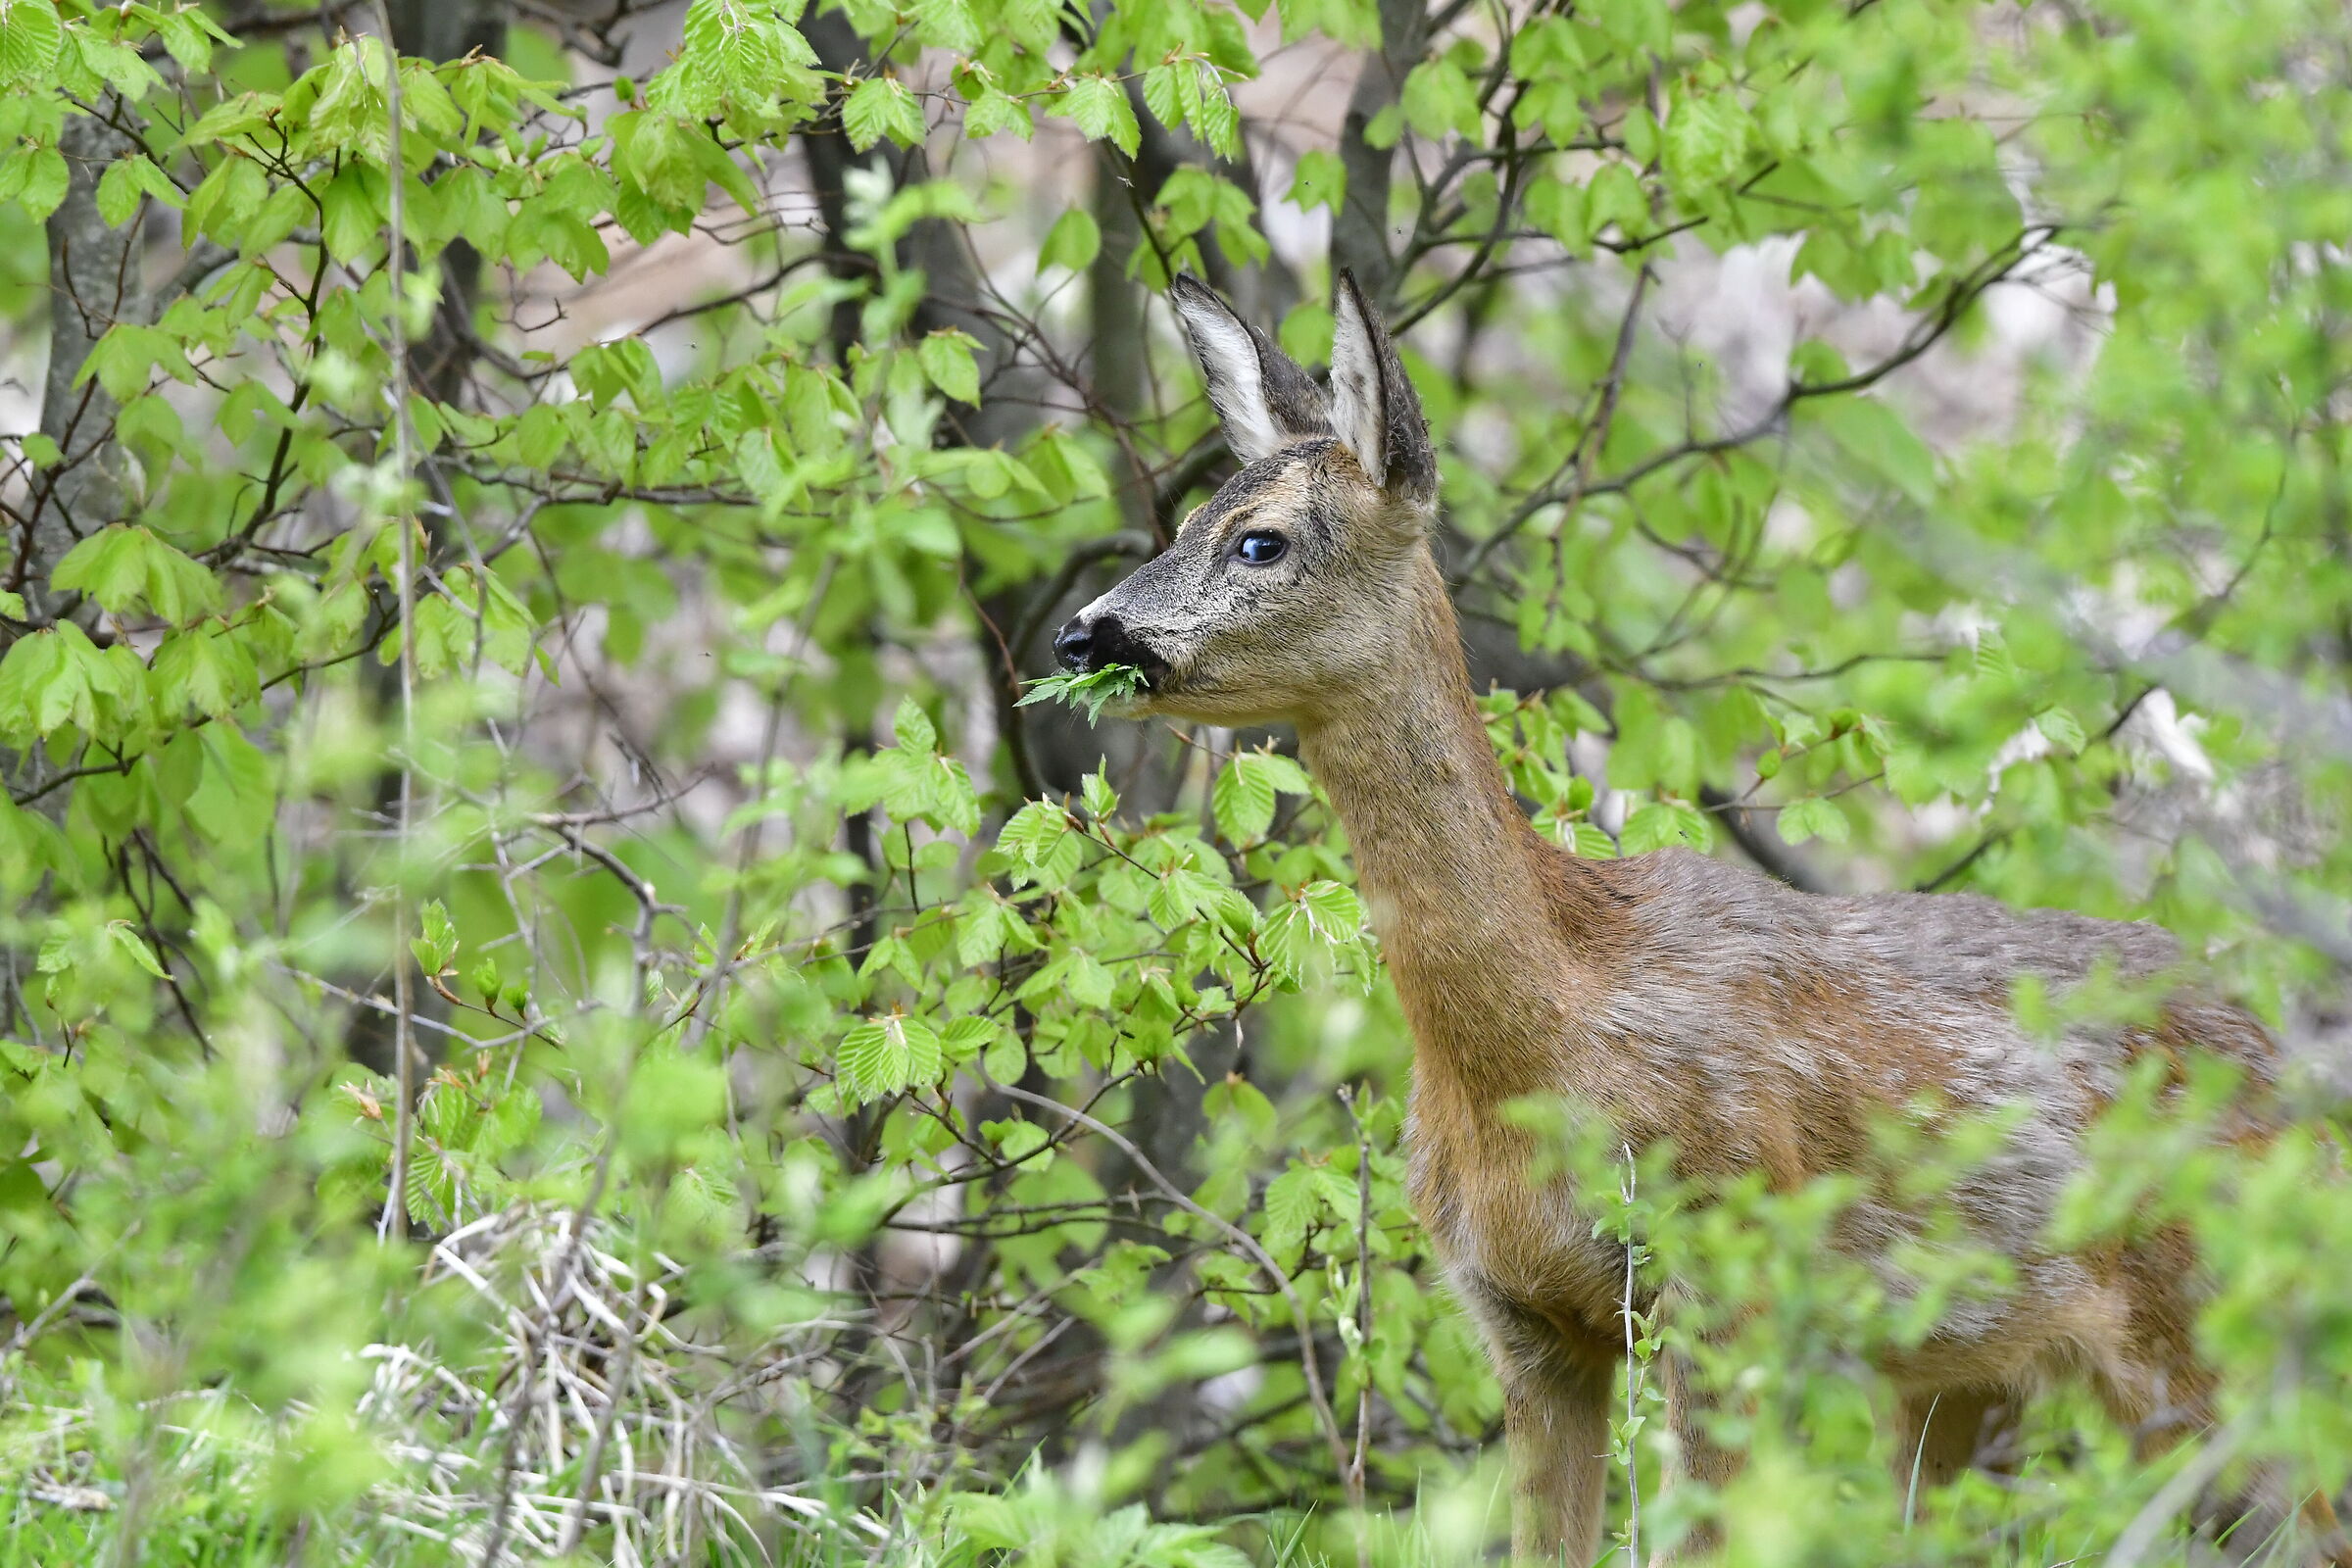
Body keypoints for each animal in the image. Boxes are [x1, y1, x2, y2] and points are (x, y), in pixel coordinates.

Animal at [1051, 272, 2347, 1563]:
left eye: (1258, 539)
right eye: (1184, 519)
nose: (1081, 631)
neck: (1534, 1042)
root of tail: (2293, 1067)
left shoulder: (1727, 1271)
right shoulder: (1521, 1320)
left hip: (2208, 1322)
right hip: (1970, 1377)